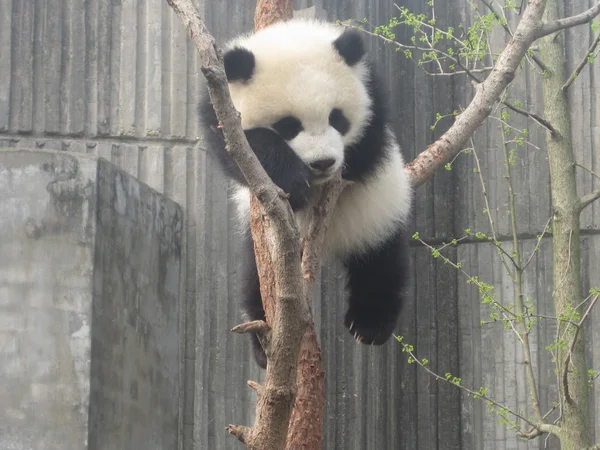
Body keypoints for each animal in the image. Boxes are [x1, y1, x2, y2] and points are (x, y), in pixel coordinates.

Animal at [200, 19, 412, 368]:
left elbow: (369, 142)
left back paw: (369, 324)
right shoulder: (220, 106)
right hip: (263, 245)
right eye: (288, 126)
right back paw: (263, 344)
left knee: (380, 260)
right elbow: (238, 148)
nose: (323, 163)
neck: (293, 36)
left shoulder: (372, 90)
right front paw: (294, 183)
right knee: (257, 281)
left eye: (337, 118)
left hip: (378, 212)